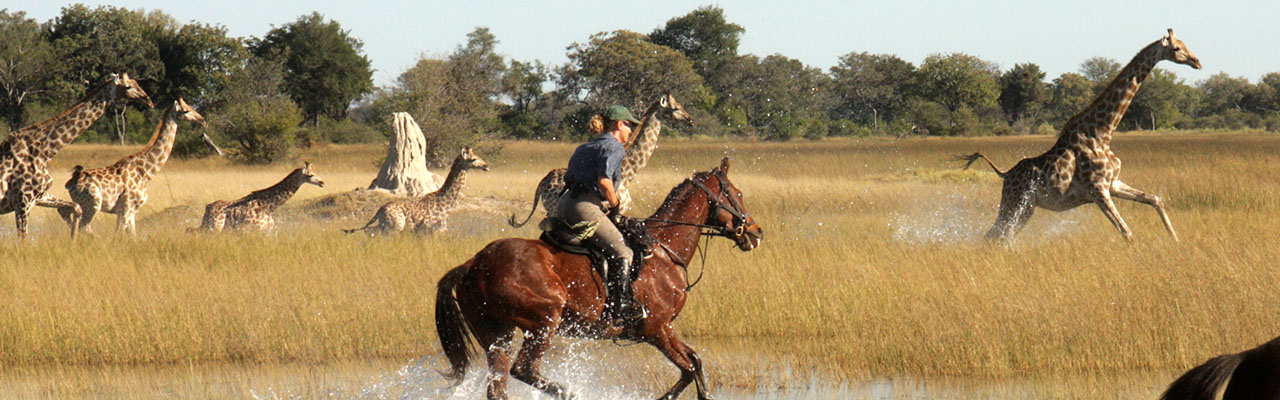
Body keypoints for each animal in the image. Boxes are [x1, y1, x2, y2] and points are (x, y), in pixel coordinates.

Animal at [435, 158, 763, 400]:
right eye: (738, 194)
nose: (756, 232)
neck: (664, 249)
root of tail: (472, 264)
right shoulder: (655, 329)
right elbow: (688, 368)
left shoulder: (664, 329)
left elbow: (695, 362)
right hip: (544, 321)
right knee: (523, 369)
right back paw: (569, 392)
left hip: (496, 333)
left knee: (499, 385)